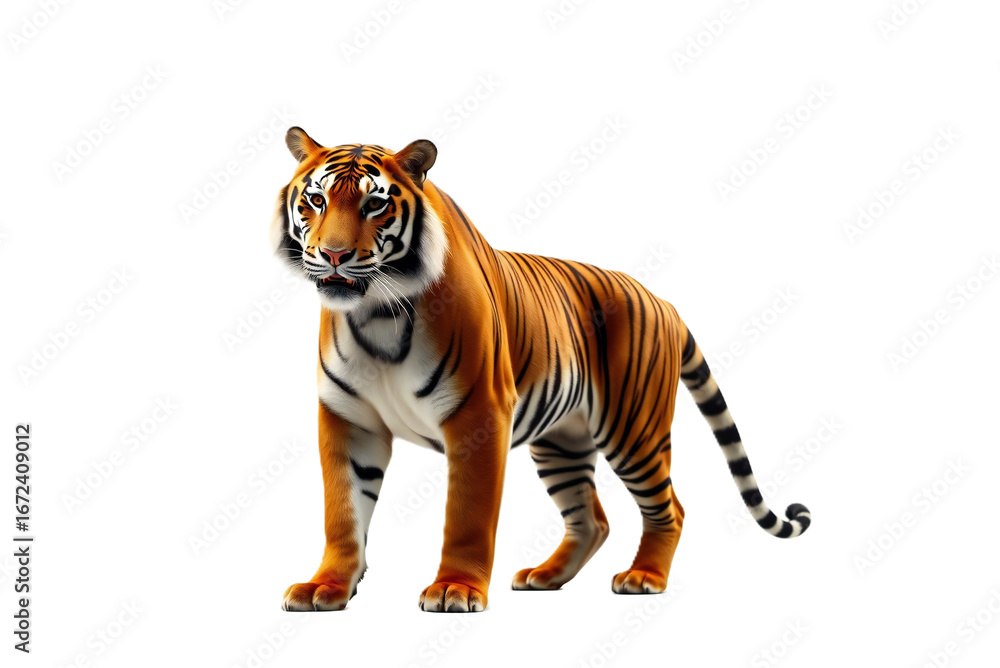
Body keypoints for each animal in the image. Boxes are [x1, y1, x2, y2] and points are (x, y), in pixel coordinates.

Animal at [272, 127, 811, 613]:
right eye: (316, 200)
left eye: (374, 205)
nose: (334, 254)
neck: (377, 311)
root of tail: (663, 301)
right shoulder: (349, 419)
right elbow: (343, 513)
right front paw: (326, 587)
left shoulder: (479, 414)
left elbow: (467, 515)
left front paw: (453, 589)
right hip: (562, 441)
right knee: (592, 518)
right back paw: (545, 577)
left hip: (634, 430)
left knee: (670, 509)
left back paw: (643, 578)